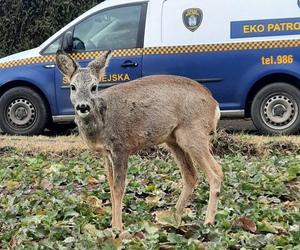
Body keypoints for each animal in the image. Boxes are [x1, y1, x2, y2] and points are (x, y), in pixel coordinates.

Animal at [55, 49, 223, 230]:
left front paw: (117, 228)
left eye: (94, 87)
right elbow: (110, 186)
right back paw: (171, 218)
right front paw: (112, 225)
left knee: (216, 172)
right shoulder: (106, 153)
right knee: (191, 175)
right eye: (73, 86)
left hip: (194, 133)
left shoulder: (121, 147)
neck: (101, 122)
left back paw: (208, 221)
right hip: (173, 139)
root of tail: (215, 104)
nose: (83, 106)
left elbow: (118, 188)